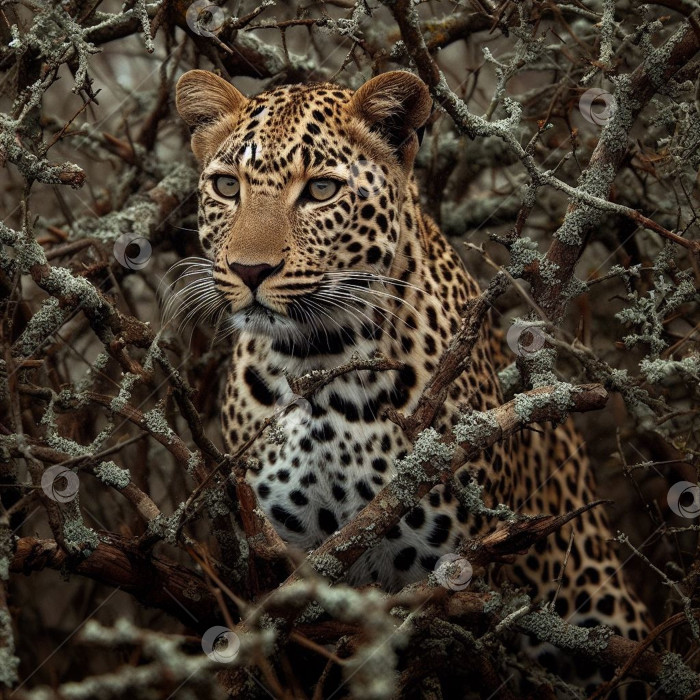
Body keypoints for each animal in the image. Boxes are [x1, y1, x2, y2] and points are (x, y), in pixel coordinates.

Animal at [175, 68, 652, 692]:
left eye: (321, 191)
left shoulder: (452, 582)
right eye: (228, 186)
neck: (320, 364)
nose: (250, 270)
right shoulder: (282, 566)